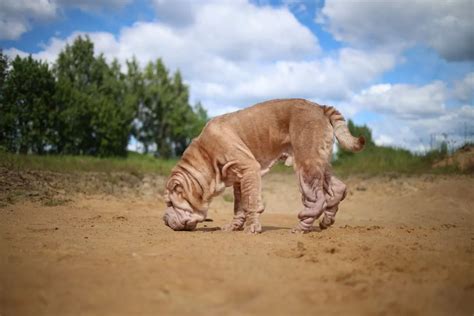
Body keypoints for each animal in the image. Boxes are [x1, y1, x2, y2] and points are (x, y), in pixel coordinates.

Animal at [161, 98, 364, 232]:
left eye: (170, 202)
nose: (163, 219)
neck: (205, 155)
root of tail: (320, 107)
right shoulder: (238, 178)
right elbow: (239, 205)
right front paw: (234, 226)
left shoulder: (249, 168)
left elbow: (251, 201)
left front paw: (252, 227)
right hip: (319, 162)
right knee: (337, 189)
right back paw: (327, 221)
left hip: (306, 165)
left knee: (316, 200)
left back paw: (301, 227)